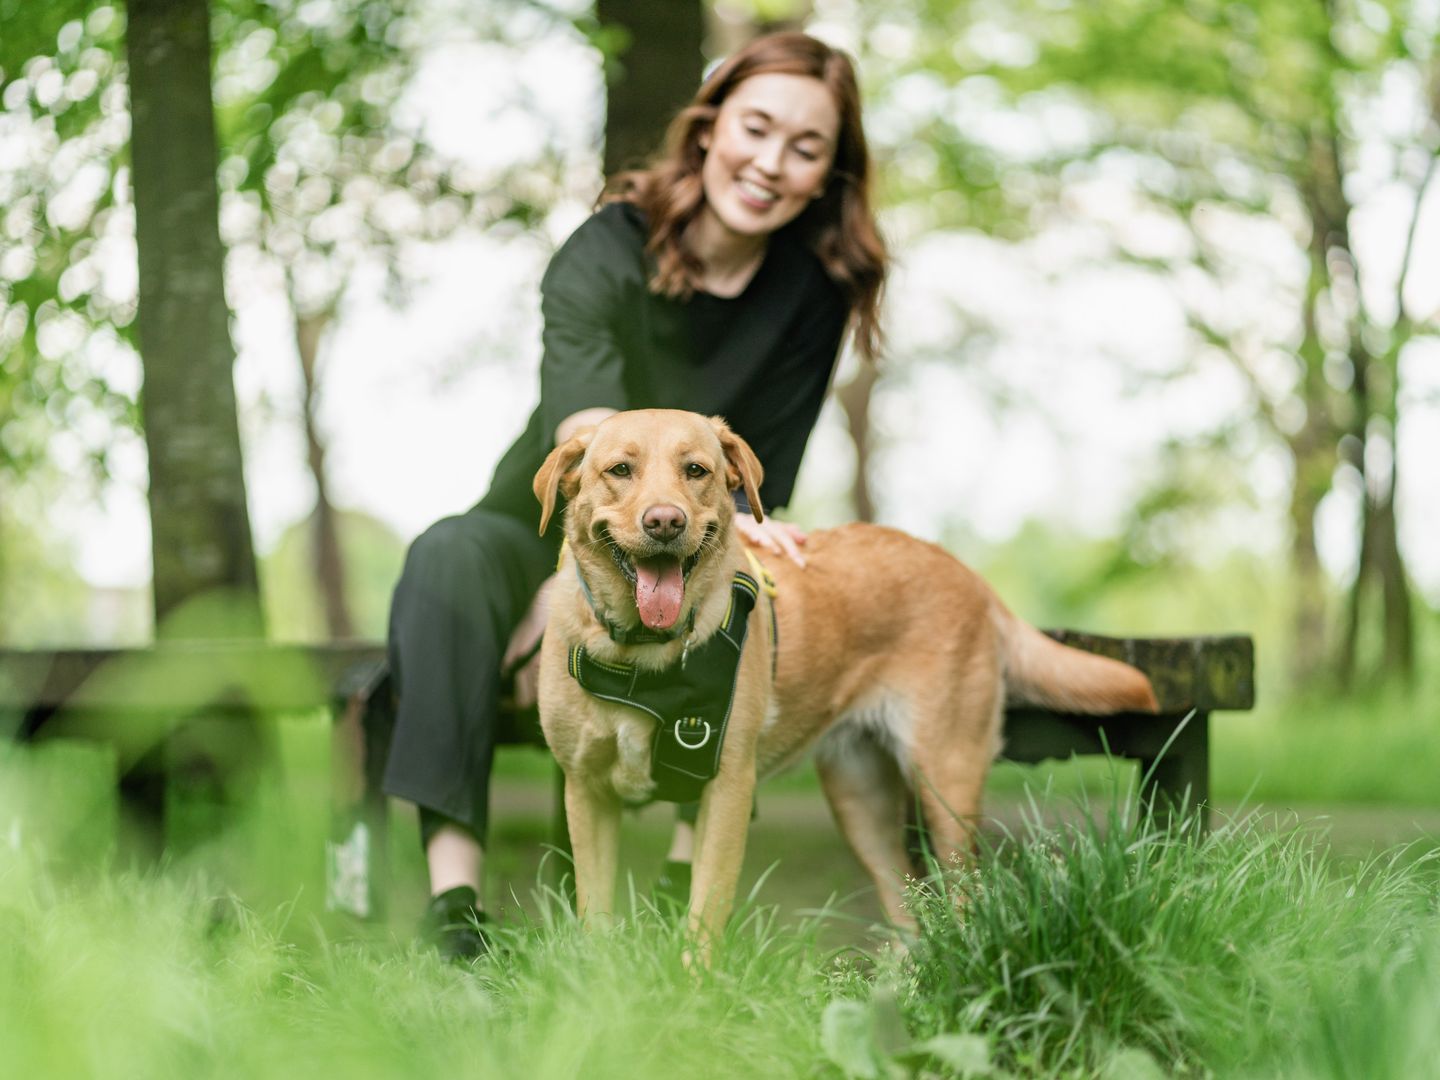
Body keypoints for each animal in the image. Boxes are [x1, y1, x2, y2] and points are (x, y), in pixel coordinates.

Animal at [532, 411, 1157, 956]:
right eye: (620, 470)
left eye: (696, 471)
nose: (665, 521)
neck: (643, 653)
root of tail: (968, 573)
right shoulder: (586, 792)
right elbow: (595, 915)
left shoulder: (727, 790)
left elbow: (703, 916)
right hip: (861, 801)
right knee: (908, 907)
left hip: (945, 785)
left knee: (962, 898)